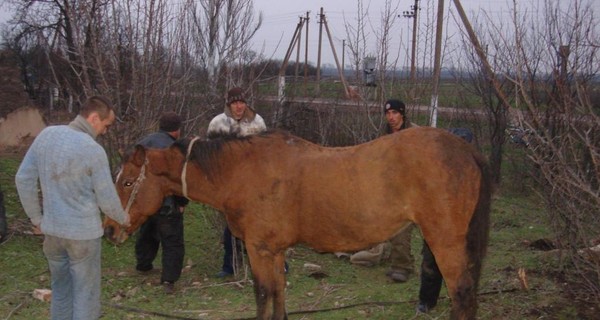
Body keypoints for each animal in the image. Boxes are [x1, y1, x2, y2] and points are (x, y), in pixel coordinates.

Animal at [104, 127, 492, 320]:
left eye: (128, 182)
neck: (241, 172)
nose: (109, 230)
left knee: (462, 295)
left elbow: (263, 295)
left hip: (444, 242)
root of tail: (467, 149)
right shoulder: (274, 251)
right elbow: (278, 294)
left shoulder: (259, 250)